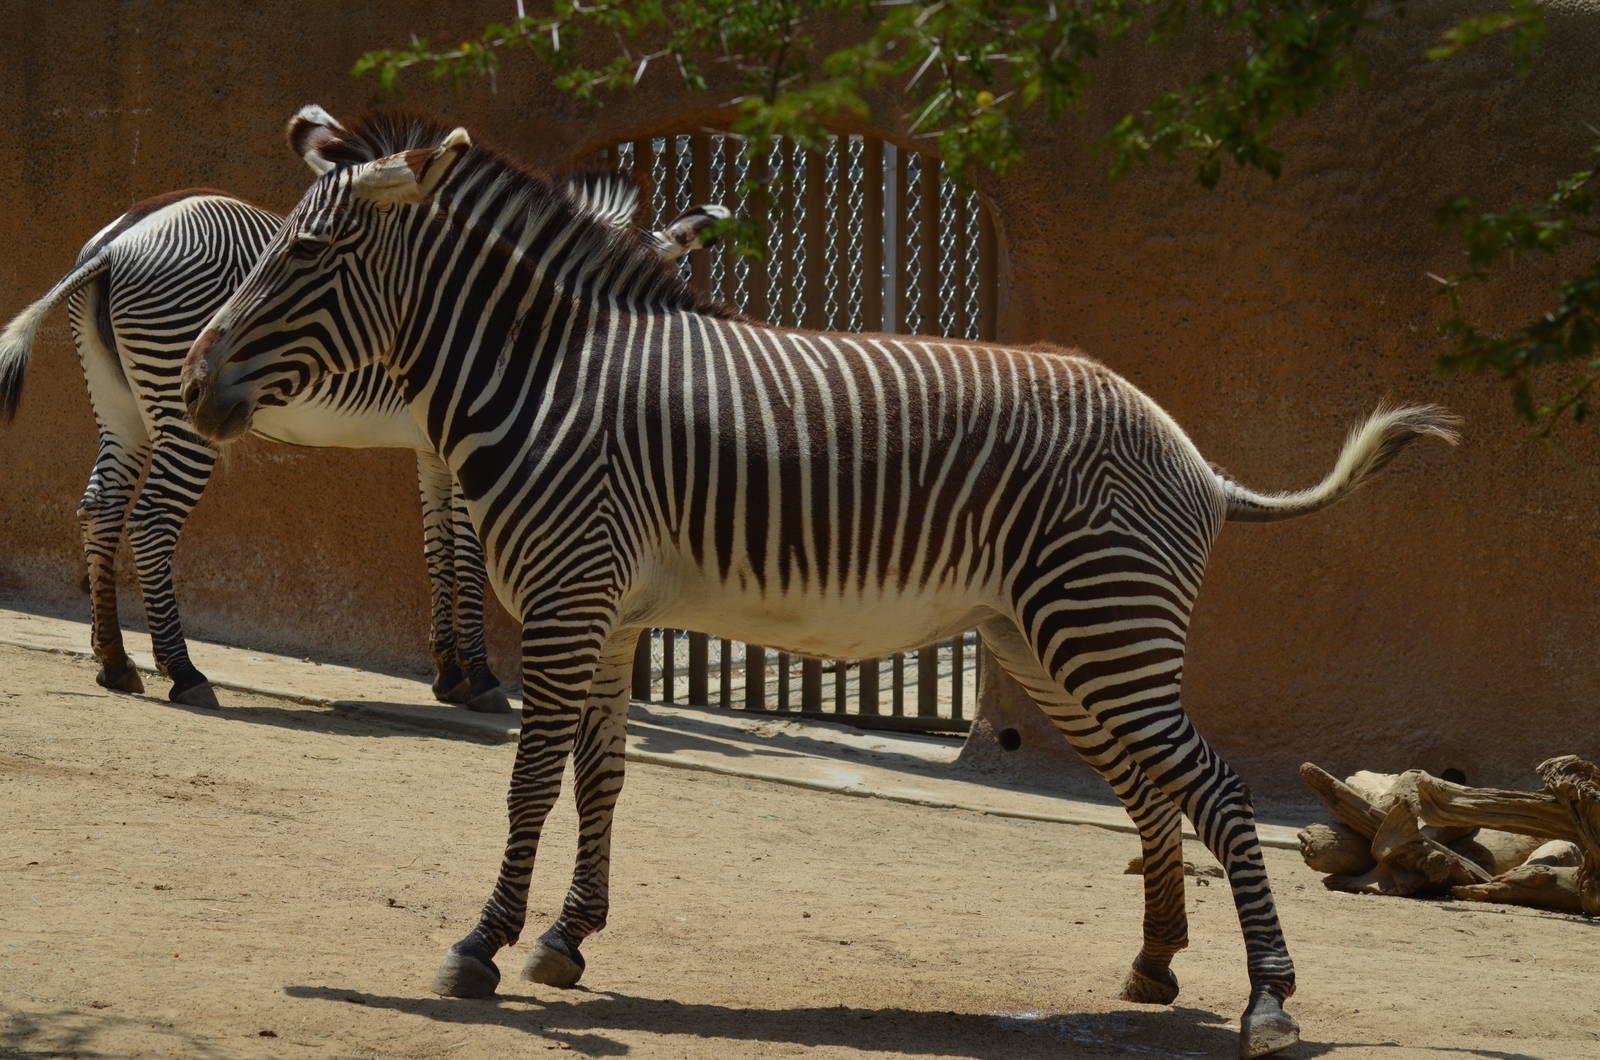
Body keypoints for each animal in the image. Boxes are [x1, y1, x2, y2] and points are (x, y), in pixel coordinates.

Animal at [0, 106, 725, 711]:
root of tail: (121, 237)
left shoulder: (435, 447)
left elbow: (438, 549)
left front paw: (449, 674)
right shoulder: (467, 445)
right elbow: (467, 554)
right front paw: (482, 679)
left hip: (121, 404)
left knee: (99, 508)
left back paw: (114, 663)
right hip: (179, 410)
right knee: (150, 521)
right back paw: (182, 672)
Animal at [180, 112, 1459, 1059]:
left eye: (304, 255)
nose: (189, 383)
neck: (547, 379)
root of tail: (1190, 450)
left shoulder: (563, 599)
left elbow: (529, 785)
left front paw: (481, 944)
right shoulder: (607, 611)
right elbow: (602, 782)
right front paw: (568, 936)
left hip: (1100, 634)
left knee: (1221, 792)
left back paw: (1269, 1001)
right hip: (1052, 648)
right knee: (1155, 793)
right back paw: (1151, 965)